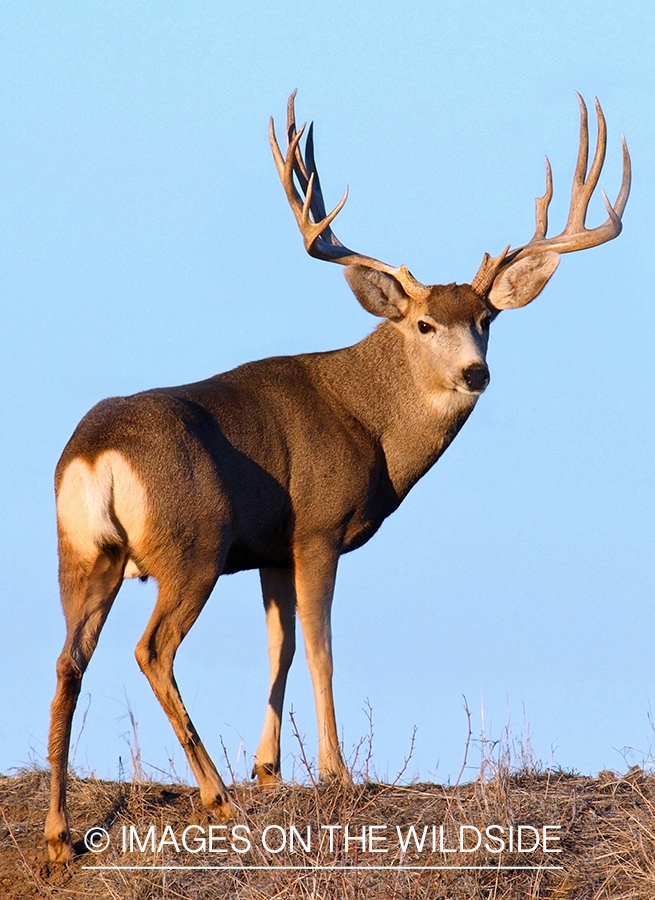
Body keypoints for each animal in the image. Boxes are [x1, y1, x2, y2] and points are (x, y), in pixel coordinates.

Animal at [45, 92, 630, 862]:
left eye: (486, 318)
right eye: (422, 323)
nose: (475, 372)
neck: (368, 422)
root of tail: (96, 453)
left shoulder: (269, 548)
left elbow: (281, 648)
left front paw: (268, 767)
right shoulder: (317, 527)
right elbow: (321, 648)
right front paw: (333, 770)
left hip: (85, 555)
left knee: (67, 663)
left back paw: (58, 836)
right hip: (190, 544)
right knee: (152, 651)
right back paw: (215, 796)